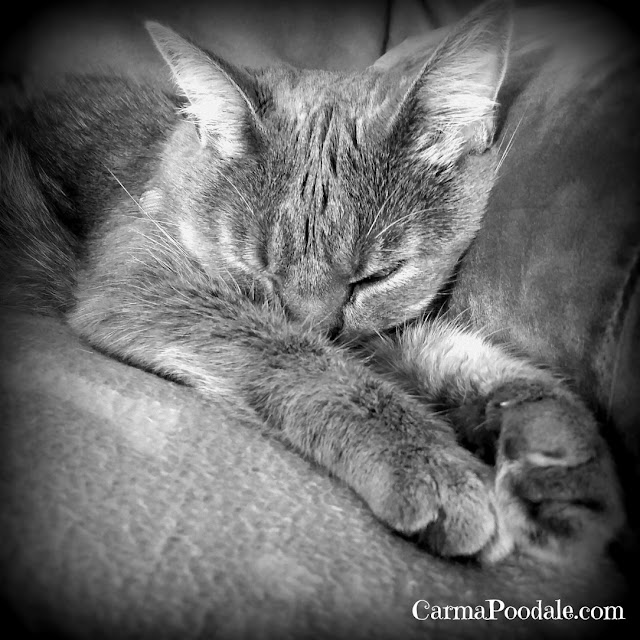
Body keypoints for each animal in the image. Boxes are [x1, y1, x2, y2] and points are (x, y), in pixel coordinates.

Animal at [0, 0, 624, 560]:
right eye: (256, 269)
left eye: (375, 277)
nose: (318, 326)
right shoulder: (143, 282)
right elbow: (298, 358)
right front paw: (429, 464)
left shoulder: (378, 328)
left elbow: (448, 352)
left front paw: (552, 447)